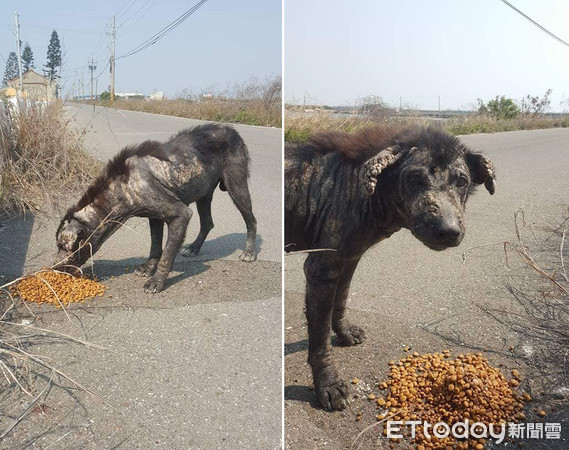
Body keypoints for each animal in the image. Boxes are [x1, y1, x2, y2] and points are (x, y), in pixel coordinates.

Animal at [55, 124, 255, 292]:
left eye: (66, 247)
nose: (54, 270)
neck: (123, 187)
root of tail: (231, 130)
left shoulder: (181, 215)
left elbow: (166, 253)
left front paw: (157, 281)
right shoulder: (155, 217)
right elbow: (156, 246)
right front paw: (148, 268)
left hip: (236, 185)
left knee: (251, 219)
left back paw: (249, 252)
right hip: (204, 194)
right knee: (207, 223)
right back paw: (193, 248)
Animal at [286, 125, 494, 410]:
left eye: (462, 181)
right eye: (415, 178)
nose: (448, 231)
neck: (363, 191)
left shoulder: (350, 258)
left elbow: (341, 300)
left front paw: (344, 333)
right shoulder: (321, 270)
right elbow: (319, 340)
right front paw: (329, 385)